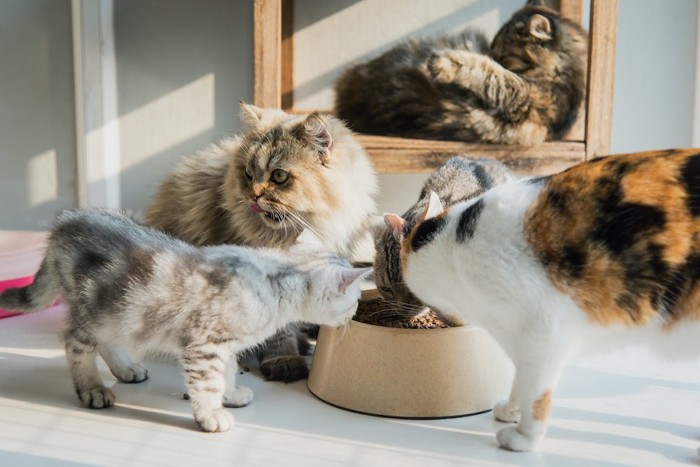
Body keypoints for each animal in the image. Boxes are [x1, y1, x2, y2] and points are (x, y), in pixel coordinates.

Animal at [0, 210, 372, 434]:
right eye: (354, 300)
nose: (354, 314)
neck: (271, 279)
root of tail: (66, 222)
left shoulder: (225, 344)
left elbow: (227, 371)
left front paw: (230, 394)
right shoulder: (204, 343)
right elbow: (207, 382)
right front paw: (211, 415)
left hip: (118, 312)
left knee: (108, 342)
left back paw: (126, 369)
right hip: (94, 310)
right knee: (75, 344)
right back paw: (92, 388)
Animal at [336, 0, 588, 144]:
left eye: (503, 56)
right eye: (492, 50)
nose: (490, 53)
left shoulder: (526, 97)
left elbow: (489, 72)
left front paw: (443, 63)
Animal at [386, 149, 700, 450]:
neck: (453, 247)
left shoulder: (545, 332)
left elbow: (536, 393)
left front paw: (525, 437)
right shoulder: (521, 339)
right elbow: (521, 379)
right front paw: (511, 410)